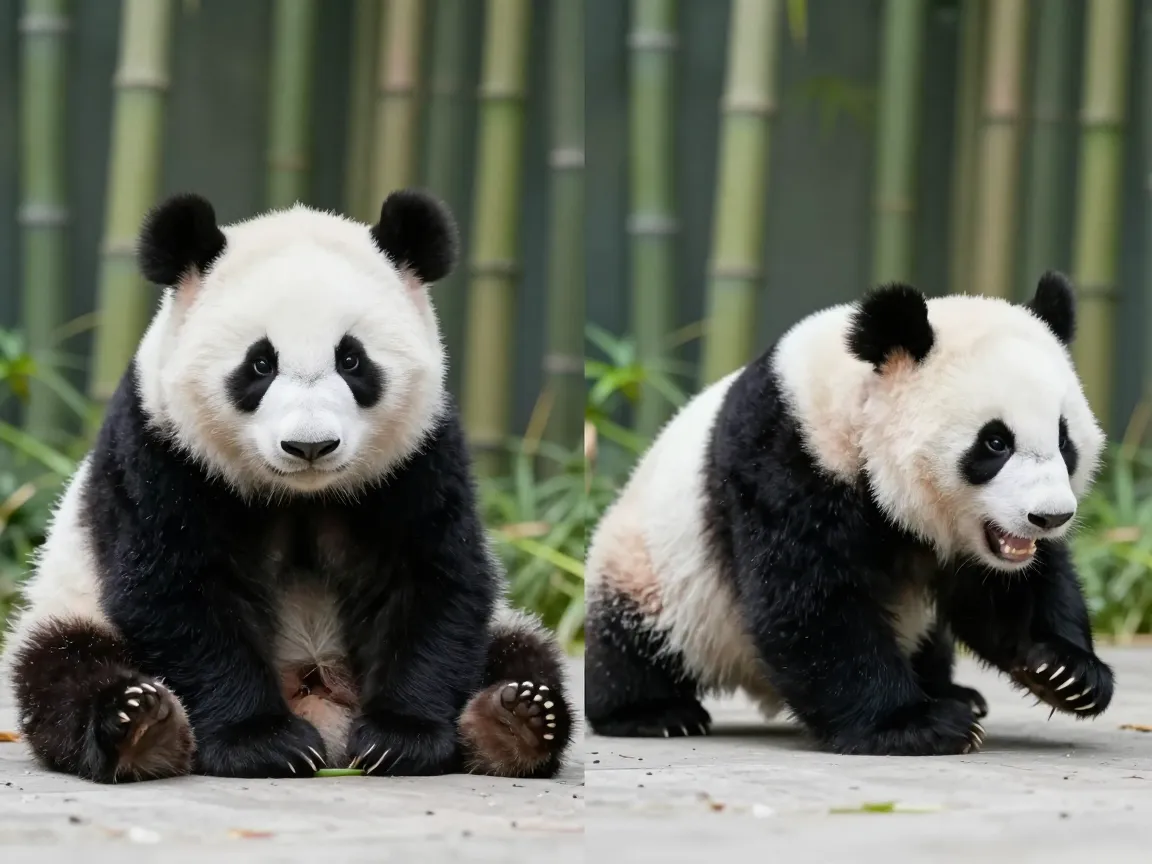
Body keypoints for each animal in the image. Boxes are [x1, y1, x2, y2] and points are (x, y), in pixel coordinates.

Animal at [1, 189, 572, 783]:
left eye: (352, 359)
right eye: (259, 364)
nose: (310, 446)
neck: (304, 495)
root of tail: (319, 700)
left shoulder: (421, 458)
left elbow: (432, 579)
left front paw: (399, 738)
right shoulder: (162, 455)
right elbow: (177, 589)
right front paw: (264, 743)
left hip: (501, 626)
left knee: (522, 650)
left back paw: (516, 718)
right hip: (67, 603)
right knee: (61, 666)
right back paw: (140, 724)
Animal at [585, 273, 1114, 756]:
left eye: (1064, 439)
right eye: (995, 442)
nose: (1050, 517)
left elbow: (1007, 591)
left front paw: (1066, 673)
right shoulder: (786, 462)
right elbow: (812, 602)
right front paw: (916, 724)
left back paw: (955, 691)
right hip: (651, 571)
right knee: (631, 644)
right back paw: (654, 713)